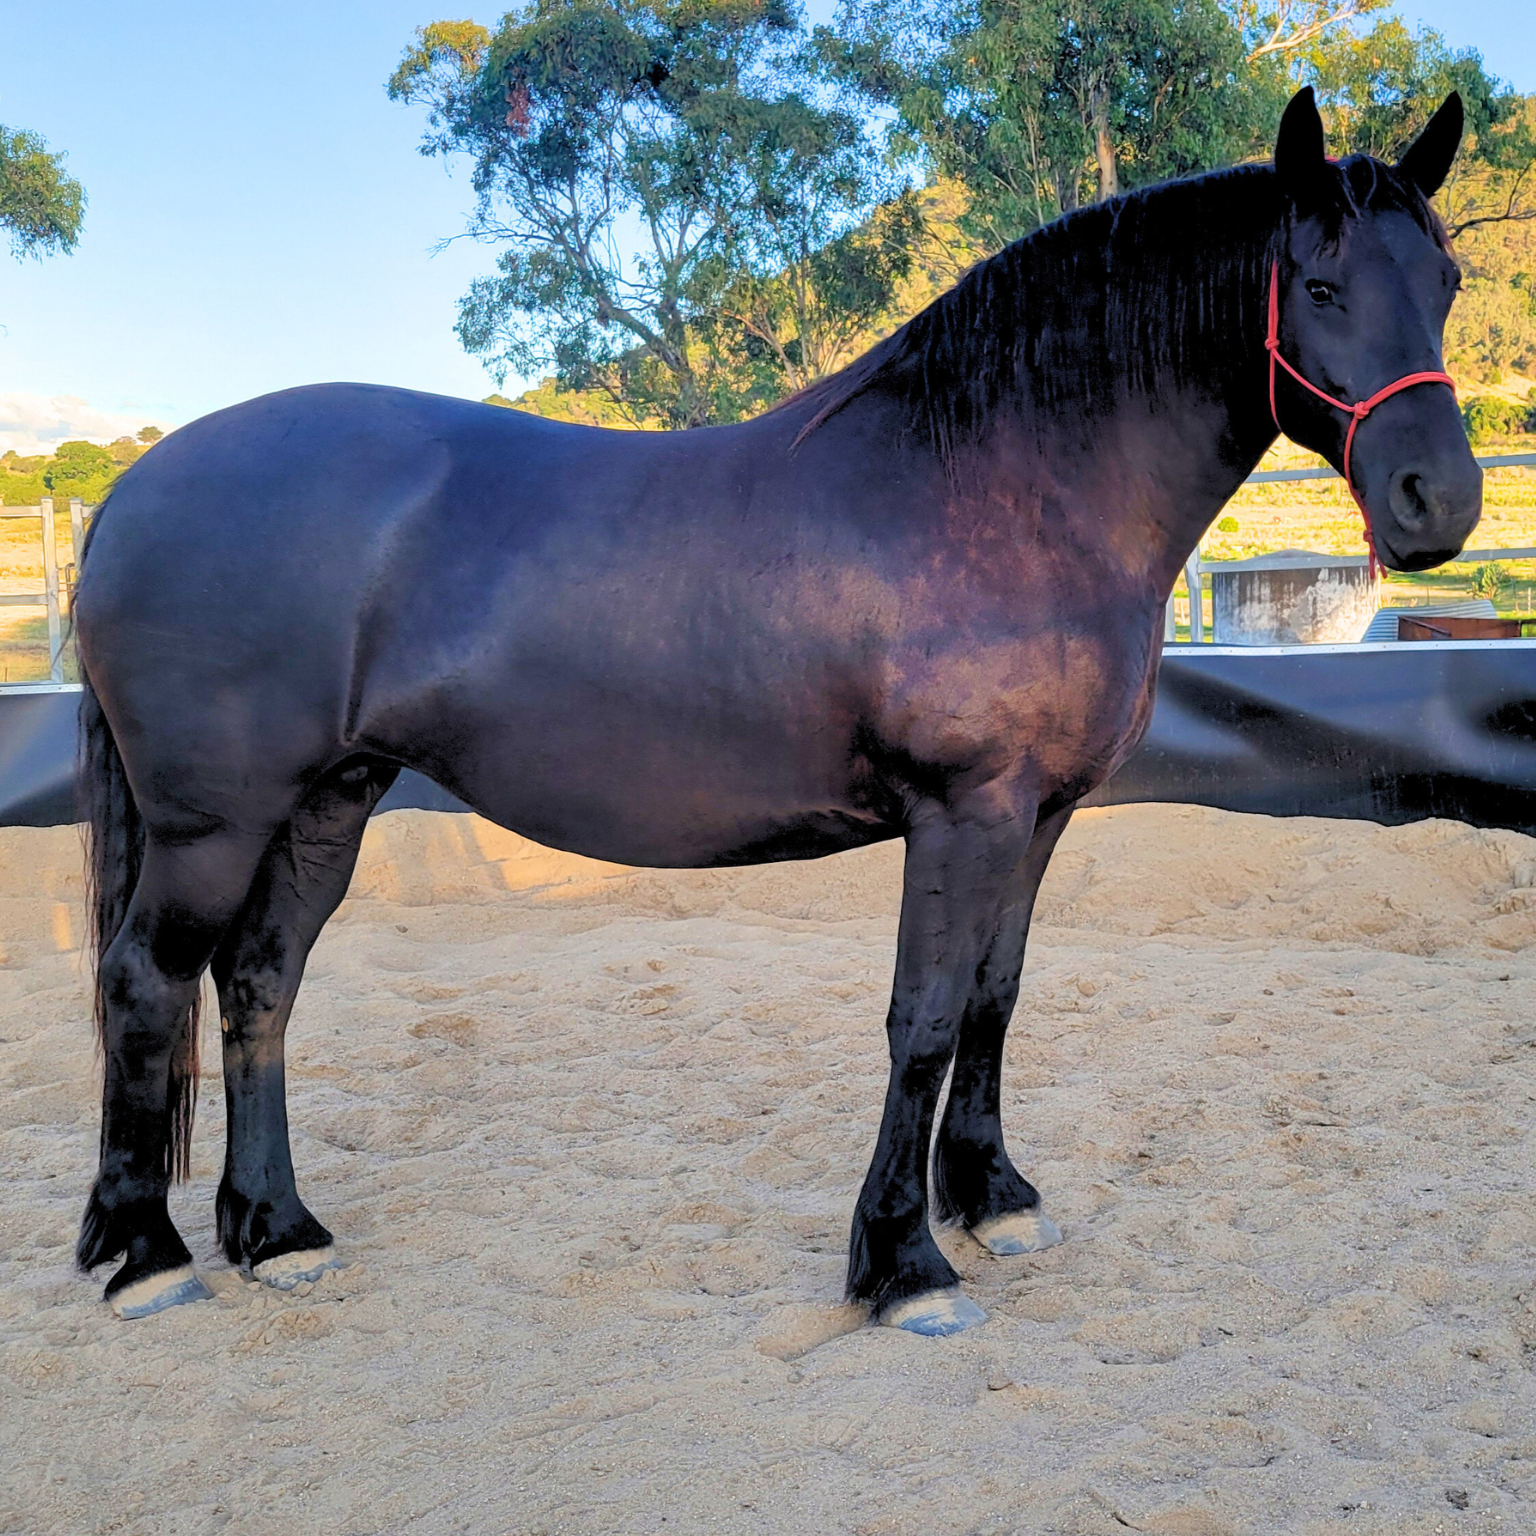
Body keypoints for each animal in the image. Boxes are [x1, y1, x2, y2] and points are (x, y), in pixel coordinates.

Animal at [73, 88, 1480, 1331]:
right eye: (1320, 288)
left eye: (1447, 284)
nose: (1440, 502)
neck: (1005, 481)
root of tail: (133, 489)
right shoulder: (964, 812)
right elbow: (923, 1019)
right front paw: (905, 1265)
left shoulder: (1040, 817)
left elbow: (995, 995)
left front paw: (993, 1200)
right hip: (212, 825)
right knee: (145, 982)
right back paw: (148, 1256)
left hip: (330, 800)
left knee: (261, 982)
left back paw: (276, 1233)